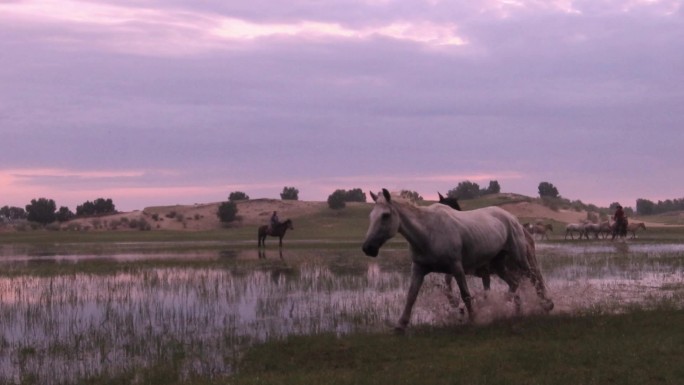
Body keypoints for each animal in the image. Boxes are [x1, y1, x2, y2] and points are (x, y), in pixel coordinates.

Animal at [360, 189, 552, 330]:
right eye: (371, 216)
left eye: (385, 215)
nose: (368, 248)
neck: (428, 233)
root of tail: (513, 219)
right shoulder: (419, 268)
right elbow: (411, 296)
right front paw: (401, 325)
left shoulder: (456, 268)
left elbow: (465, 294)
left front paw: (473, 318)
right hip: (499, 265)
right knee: (514, 283)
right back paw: (513, 309)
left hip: (519, 259)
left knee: (534, 278)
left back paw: (546, 305)